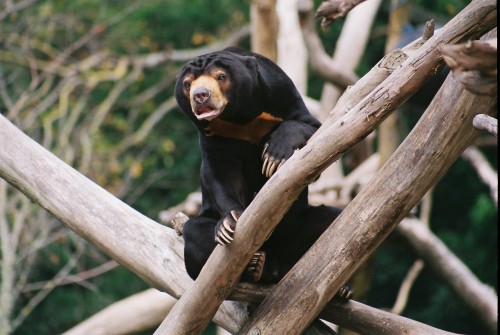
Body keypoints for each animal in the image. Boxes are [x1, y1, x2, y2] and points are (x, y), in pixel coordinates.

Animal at [175, 47, 344, 286]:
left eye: (221, 77)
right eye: (187, 84)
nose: (200, 96)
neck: (238, 118)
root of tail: (276, 269)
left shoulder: (279, 91)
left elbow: (309, 128)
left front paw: (274, 156)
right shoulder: (212, 134)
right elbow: (220, 173)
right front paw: (229, 222)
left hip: (296, 230)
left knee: (330, 218)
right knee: (194, 231)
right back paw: (254, 265)